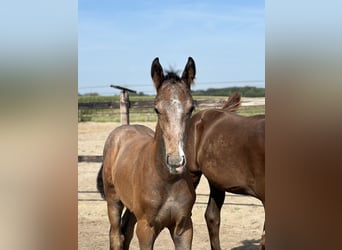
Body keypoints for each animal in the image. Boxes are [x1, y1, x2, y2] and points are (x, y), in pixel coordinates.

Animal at [97, 57, 196, 249]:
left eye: (191, 108)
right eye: (156, 109)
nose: (175, 162)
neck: (167, 180)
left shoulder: (184, 227)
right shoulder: (146, 229)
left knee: (126, 233)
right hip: (113, 200)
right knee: (116, 235)